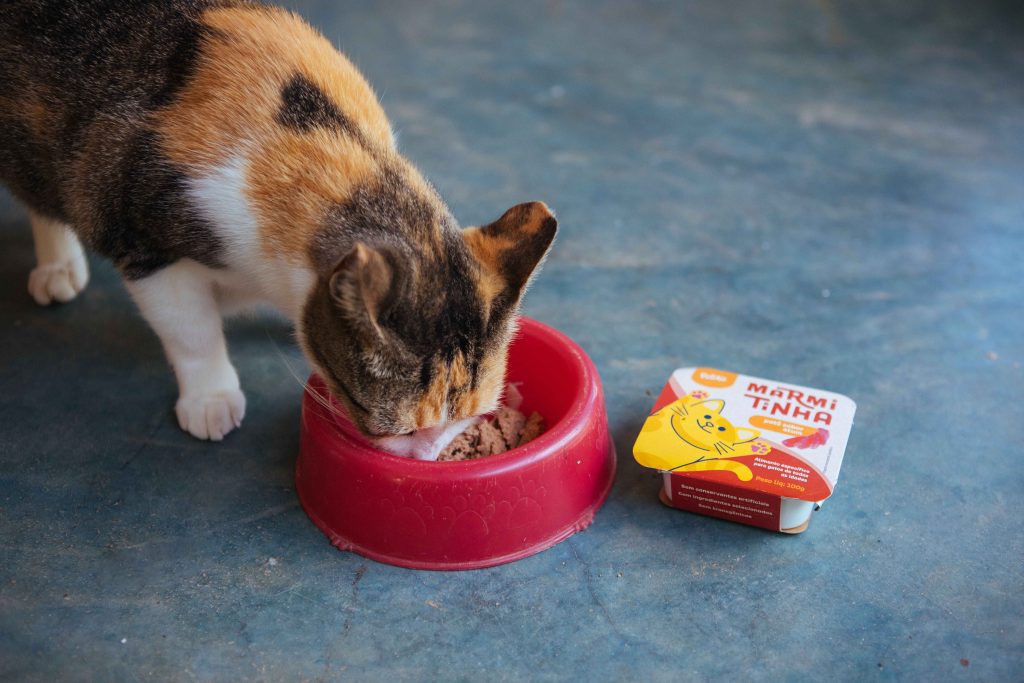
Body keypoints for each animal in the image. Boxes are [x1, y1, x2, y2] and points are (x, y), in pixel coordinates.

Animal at [2, 1, 561, 454]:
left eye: (468, 417)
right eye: (400, 429)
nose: (429, 452)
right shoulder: (147, 248)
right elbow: (191, 330)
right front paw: (211, 399)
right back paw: (57, 269)